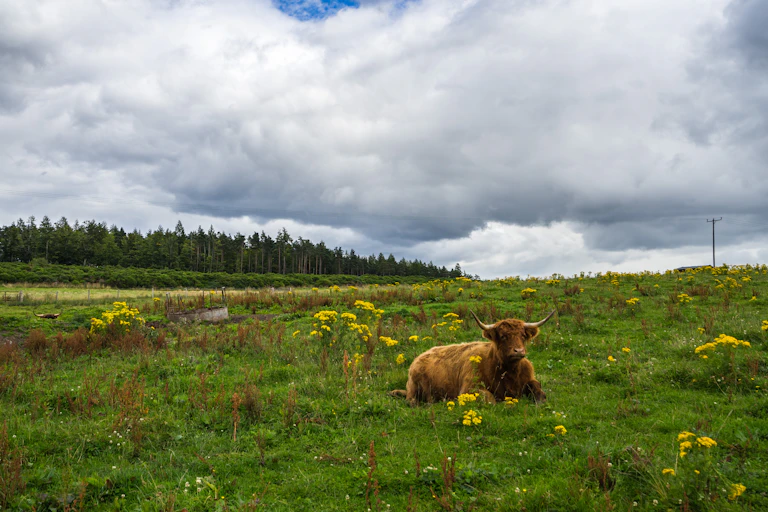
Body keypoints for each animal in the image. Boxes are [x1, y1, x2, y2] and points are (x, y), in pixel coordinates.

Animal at [390, 310, 554, 405]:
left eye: (523, 336)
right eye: (503, 336)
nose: (518, 351)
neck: (510, 374)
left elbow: (537, 387)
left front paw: (540, 400)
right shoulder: (468, 389)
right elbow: (490, 399)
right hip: (415, 388)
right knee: (411, 401)